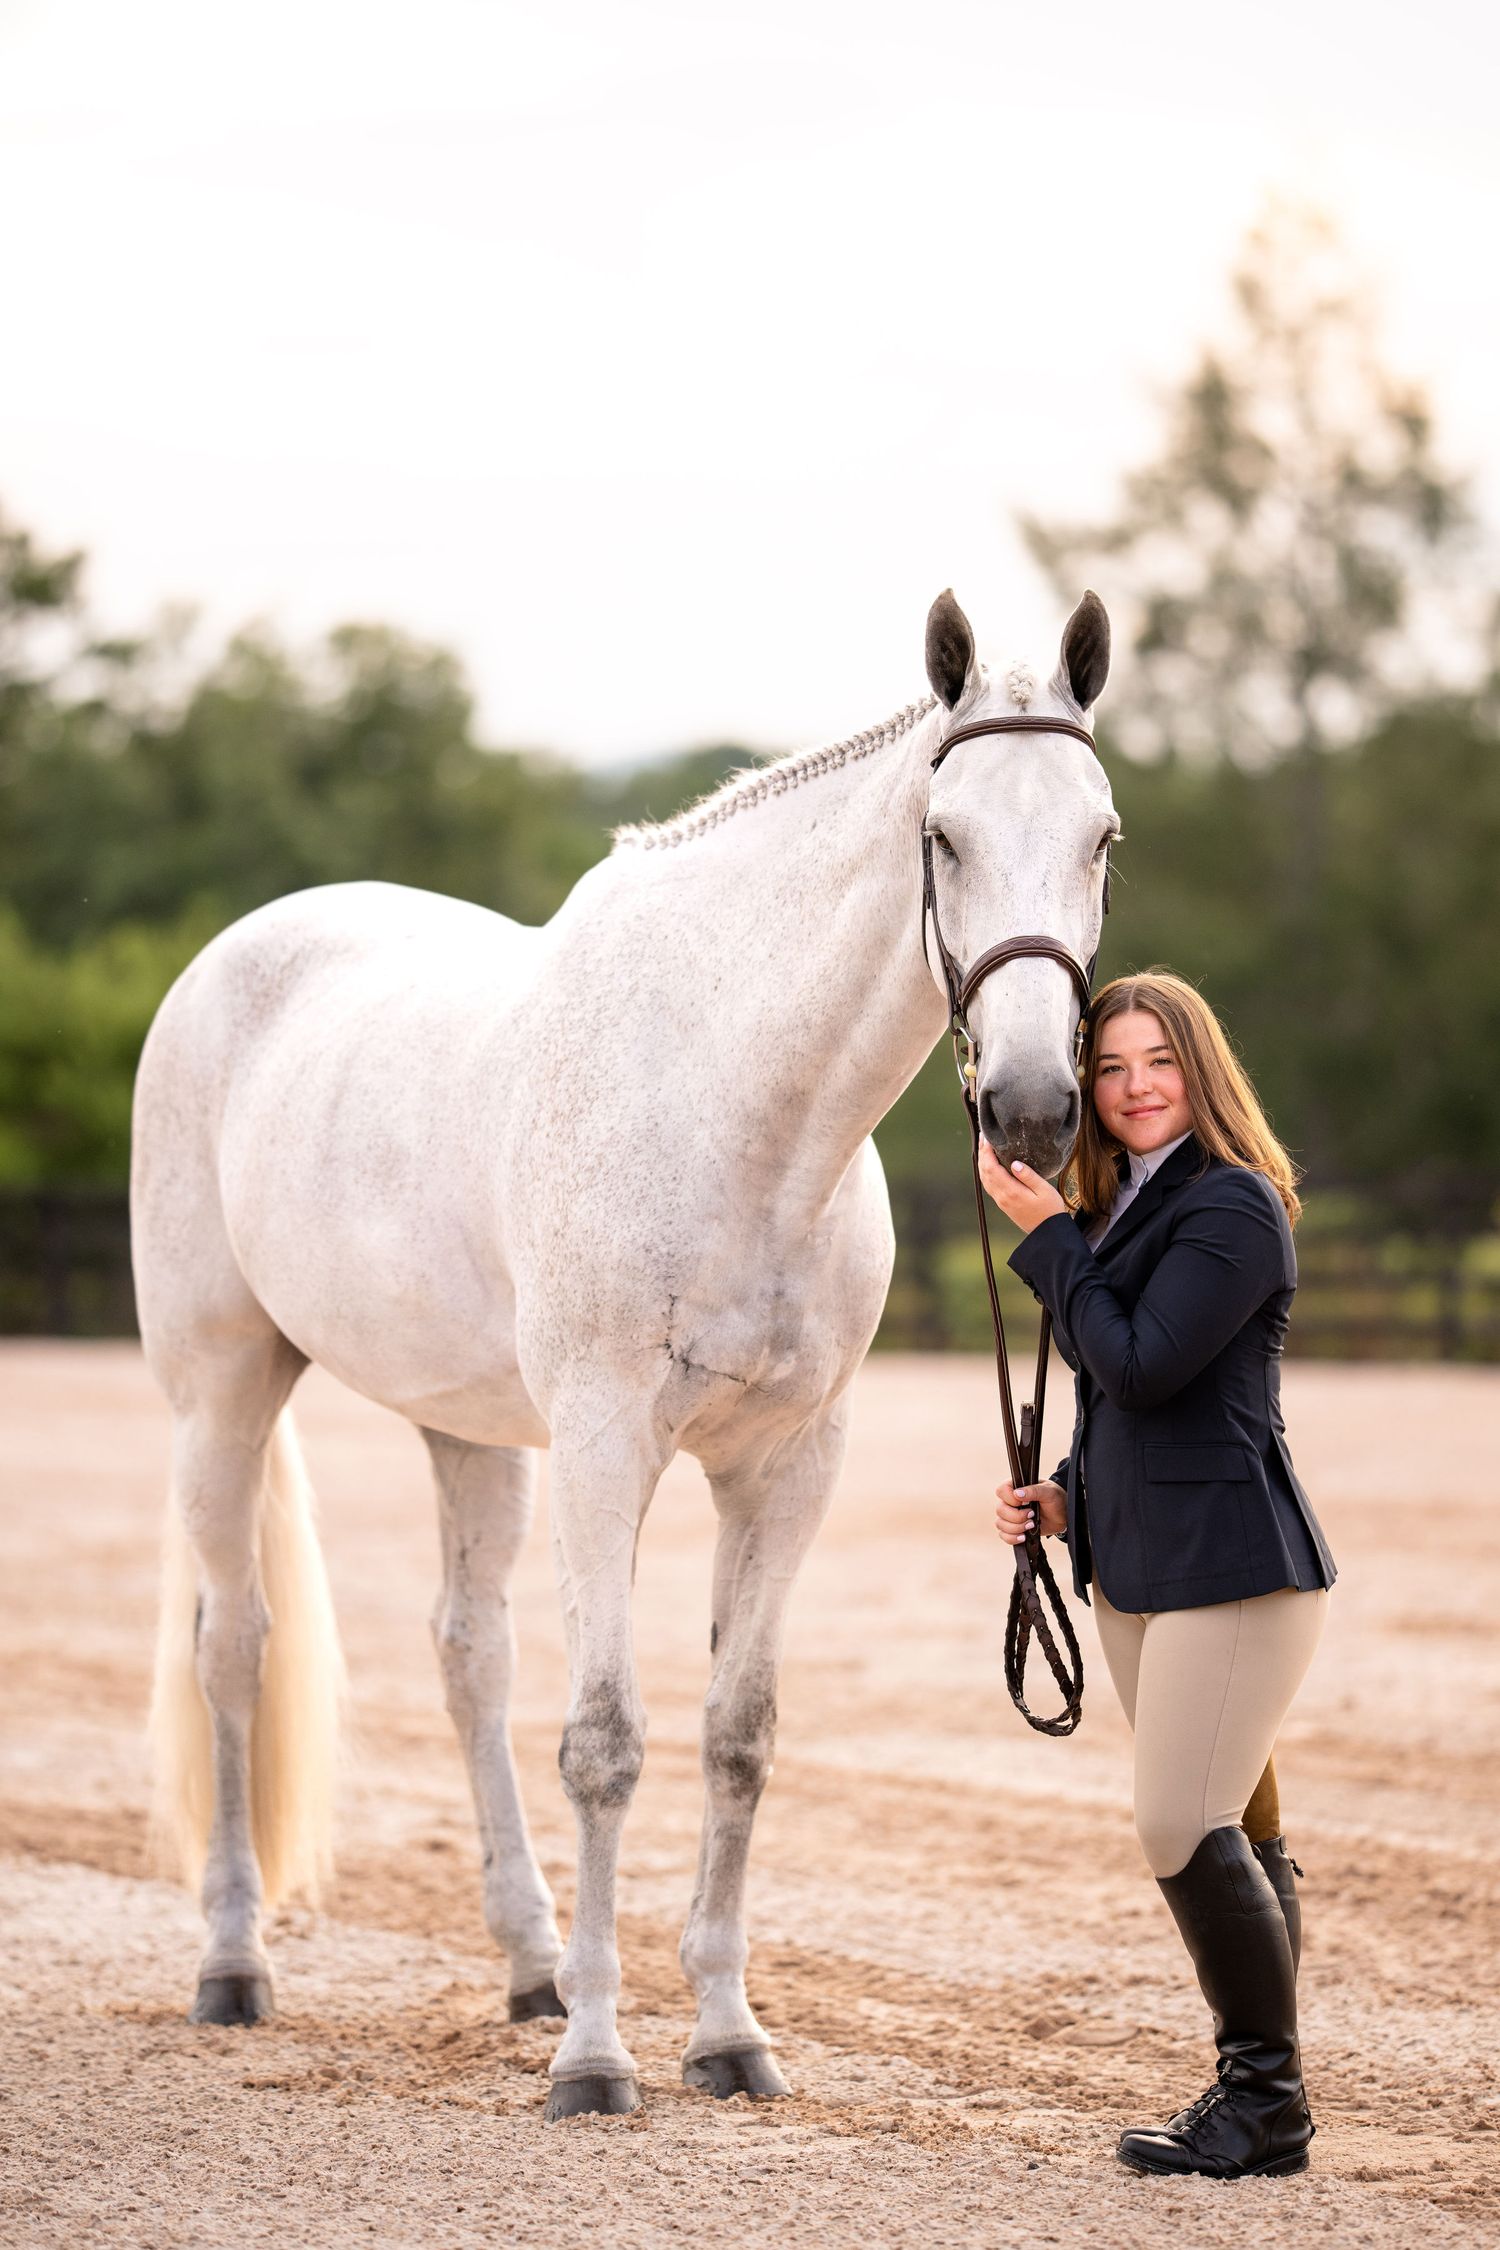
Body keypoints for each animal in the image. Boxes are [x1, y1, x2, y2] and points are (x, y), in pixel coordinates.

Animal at [132, 585, 1116, 2118]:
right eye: (944, 837)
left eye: (1102, 838)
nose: (1028, 1107)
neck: (732, 1104)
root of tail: (232, 958)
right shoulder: (607, 1443)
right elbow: (605, 1743)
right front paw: (598, 2062)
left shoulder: (788, 1464)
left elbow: (737, 1735)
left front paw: (725, 2035)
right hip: (219, 1391)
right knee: (232, 1649)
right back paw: (235, 1965)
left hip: (468, 1428)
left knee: (469, 1654)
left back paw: (530, 1964)